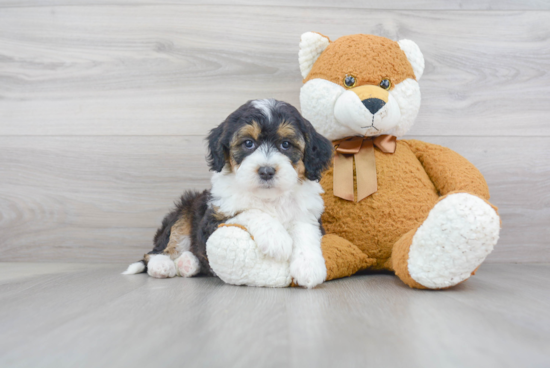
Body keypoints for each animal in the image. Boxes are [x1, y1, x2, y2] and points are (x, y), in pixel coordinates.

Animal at [123, 99, 334, 288]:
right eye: (248, 143)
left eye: (286, 144)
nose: (266, 171)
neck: (268, 197)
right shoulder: (213, 219)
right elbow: (248, 211)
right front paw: (275, 237)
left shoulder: (308, 213)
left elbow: (305, 230)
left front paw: (309, 267)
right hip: (184, 210)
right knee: (158, 249)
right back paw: (162, 265)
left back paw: (188, 263)